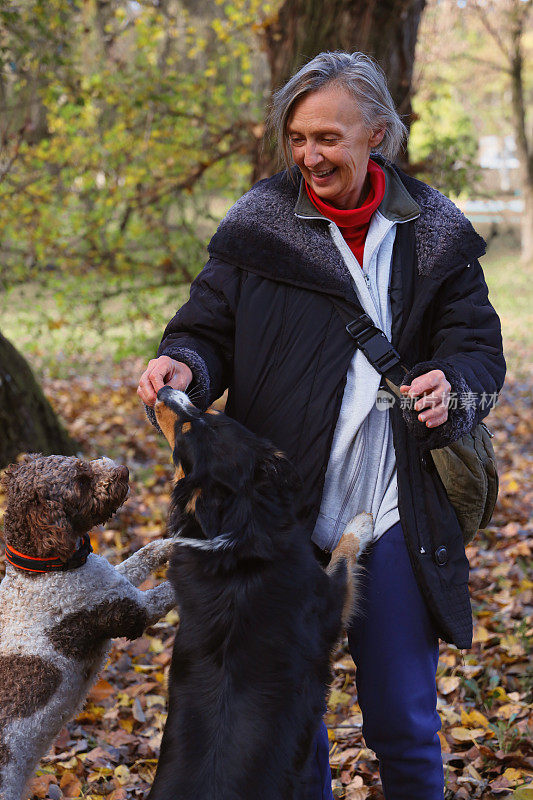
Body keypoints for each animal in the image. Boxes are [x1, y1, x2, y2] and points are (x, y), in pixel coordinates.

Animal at [0, 454, 176, 796]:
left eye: (80, 463)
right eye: (80, 482)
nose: (123, 470)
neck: (42, 570)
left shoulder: (115, 581)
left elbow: (146, 553)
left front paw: (179, 544)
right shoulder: (131, 610)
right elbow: (168, 590)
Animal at [145, 388, 370, 800]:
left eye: (211, 414)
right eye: (185, 431)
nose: (166, 390)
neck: (241, 517)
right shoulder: (329, 602)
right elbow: (345, 552)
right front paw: (363, 521)